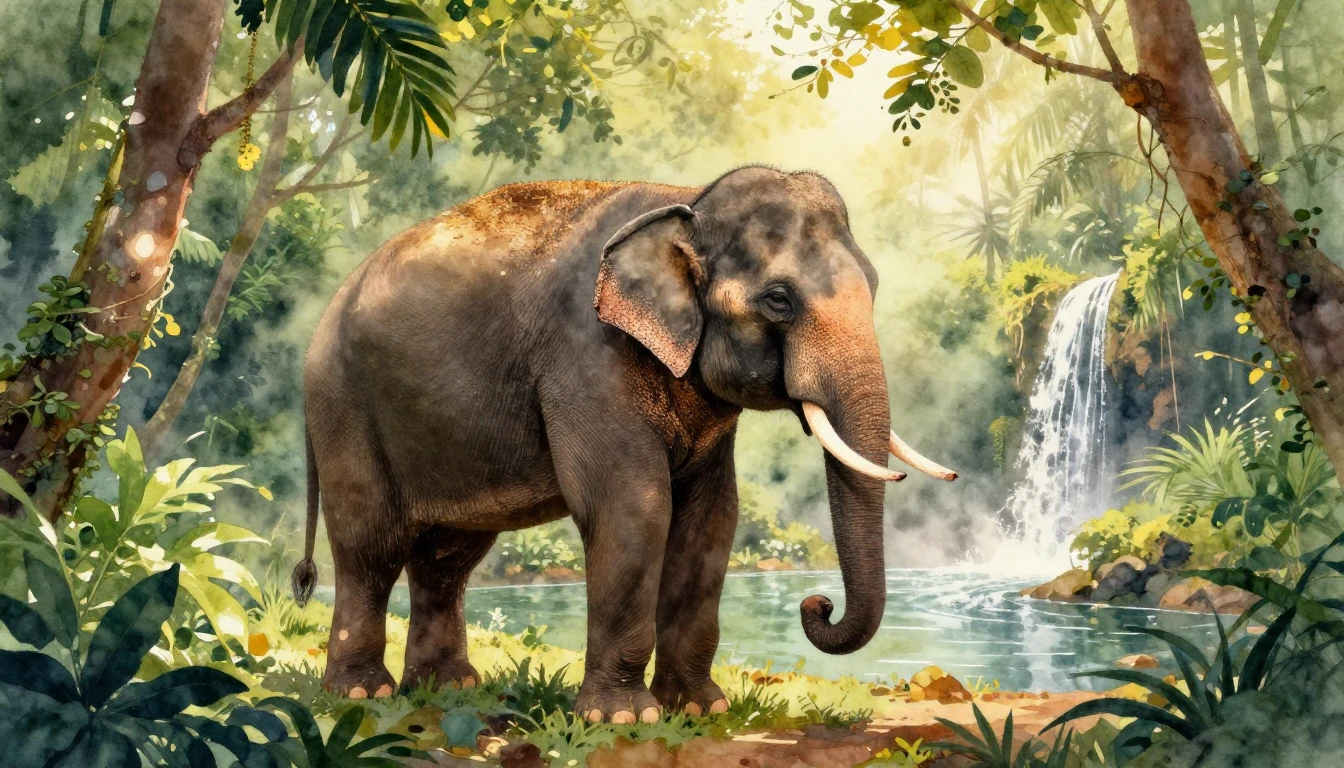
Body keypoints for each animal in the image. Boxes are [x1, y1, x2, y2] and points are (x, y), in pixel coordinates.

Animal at [292, 165, 956, 722]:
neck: (688, 199)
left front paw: (699, 709)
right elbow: (634, 507)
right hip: (344, 407)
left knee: (448, 557)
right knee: (370, 544)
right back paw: (362, 694)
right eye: (778, 299)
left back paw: (448, 687)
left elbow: (711, 519)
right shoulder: (587, 355)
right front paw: (623, 719)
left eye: (875, 286)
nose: (816, 605)